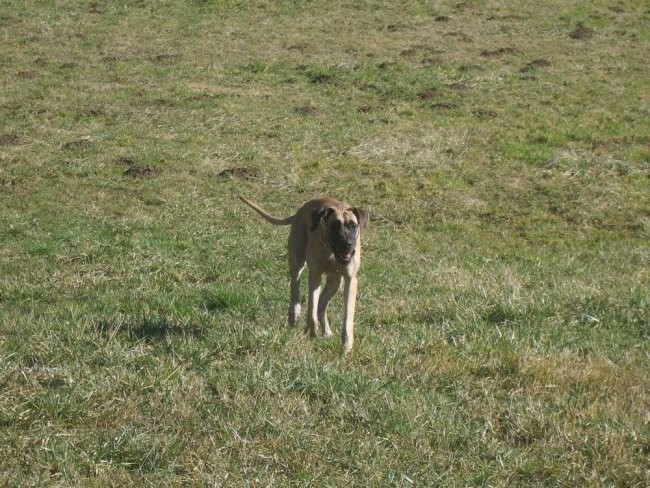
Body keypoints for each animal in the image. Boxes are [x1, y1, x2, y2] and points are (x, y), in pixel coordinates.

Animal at [239, 196, 370, 352]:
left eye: (353, 226)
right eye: (334, 226)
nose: (347, 244)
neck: (331, 253)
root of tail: (299, 211)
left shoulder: (350, 279)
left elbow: (347, 316)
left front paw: (346, 346)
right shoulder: (314, 274)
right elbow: (311, 307)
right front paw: (312, 332)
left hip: (335, 282)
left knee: (321, 305)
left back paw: (326, 330)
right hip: (296, 259)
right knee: (296, 284)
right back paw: (294, 314)